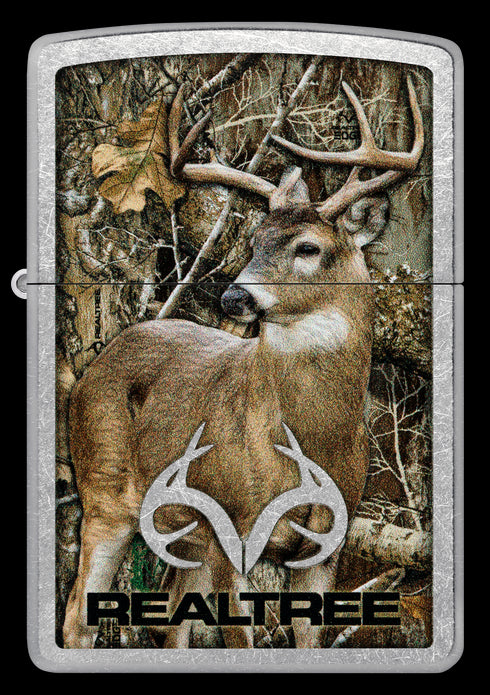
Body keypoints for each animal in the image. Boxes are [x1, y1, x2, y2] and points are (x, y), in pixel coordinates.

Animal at [63, 76, 424, 650]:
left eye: (308, 247)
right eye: (253, 241)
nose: (234, 296)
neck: (309, 438)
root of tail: (93, 367)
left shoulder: (326, 545)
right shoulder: (230, 524)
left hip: (181, 529)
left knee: (169, 619)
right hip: (104, 488)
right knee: (78, 615)